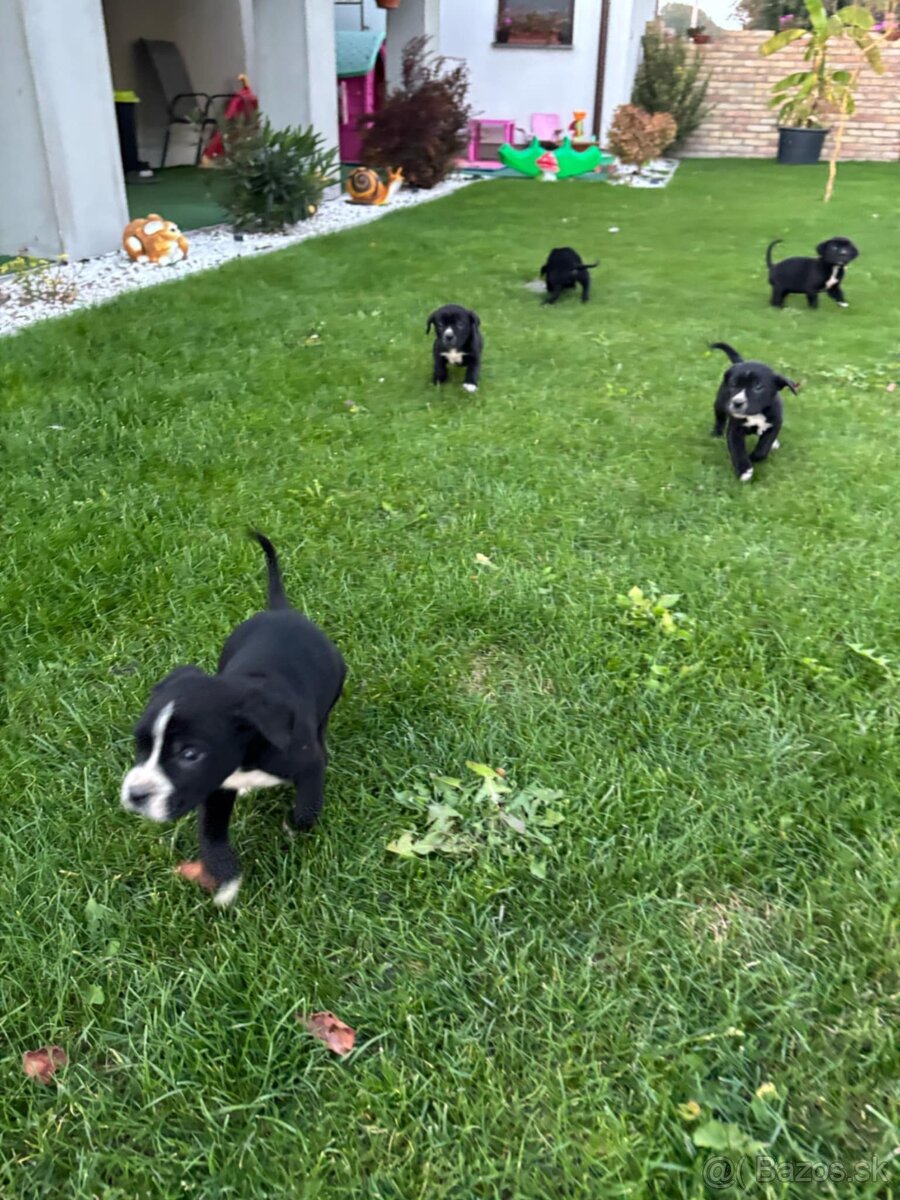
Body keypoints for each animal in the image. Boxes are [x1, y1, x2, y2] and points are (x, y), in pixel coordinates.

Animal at [120, 530, 345, 902]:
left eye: (189, 754)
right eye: (141, 744)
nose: (135, 795)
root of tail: (280, 610)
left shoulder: (308, 763)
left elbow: (308, 806)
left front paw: (294, 827)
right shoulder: (215, 788)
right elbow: (211, 835)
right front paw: (225, 878)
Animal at [710, 343, 801, 482]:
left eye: (758, 387)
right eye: (733, 384)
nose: (737, 402)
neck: (756, 414)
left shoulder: (775, 424)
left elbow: (763, 448)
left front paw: (754, 457)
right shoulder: (734, 430)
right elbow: (737, 450)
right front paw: (744, 470)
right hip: (720, 403)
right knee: (719, 418)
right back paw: (716, 433)